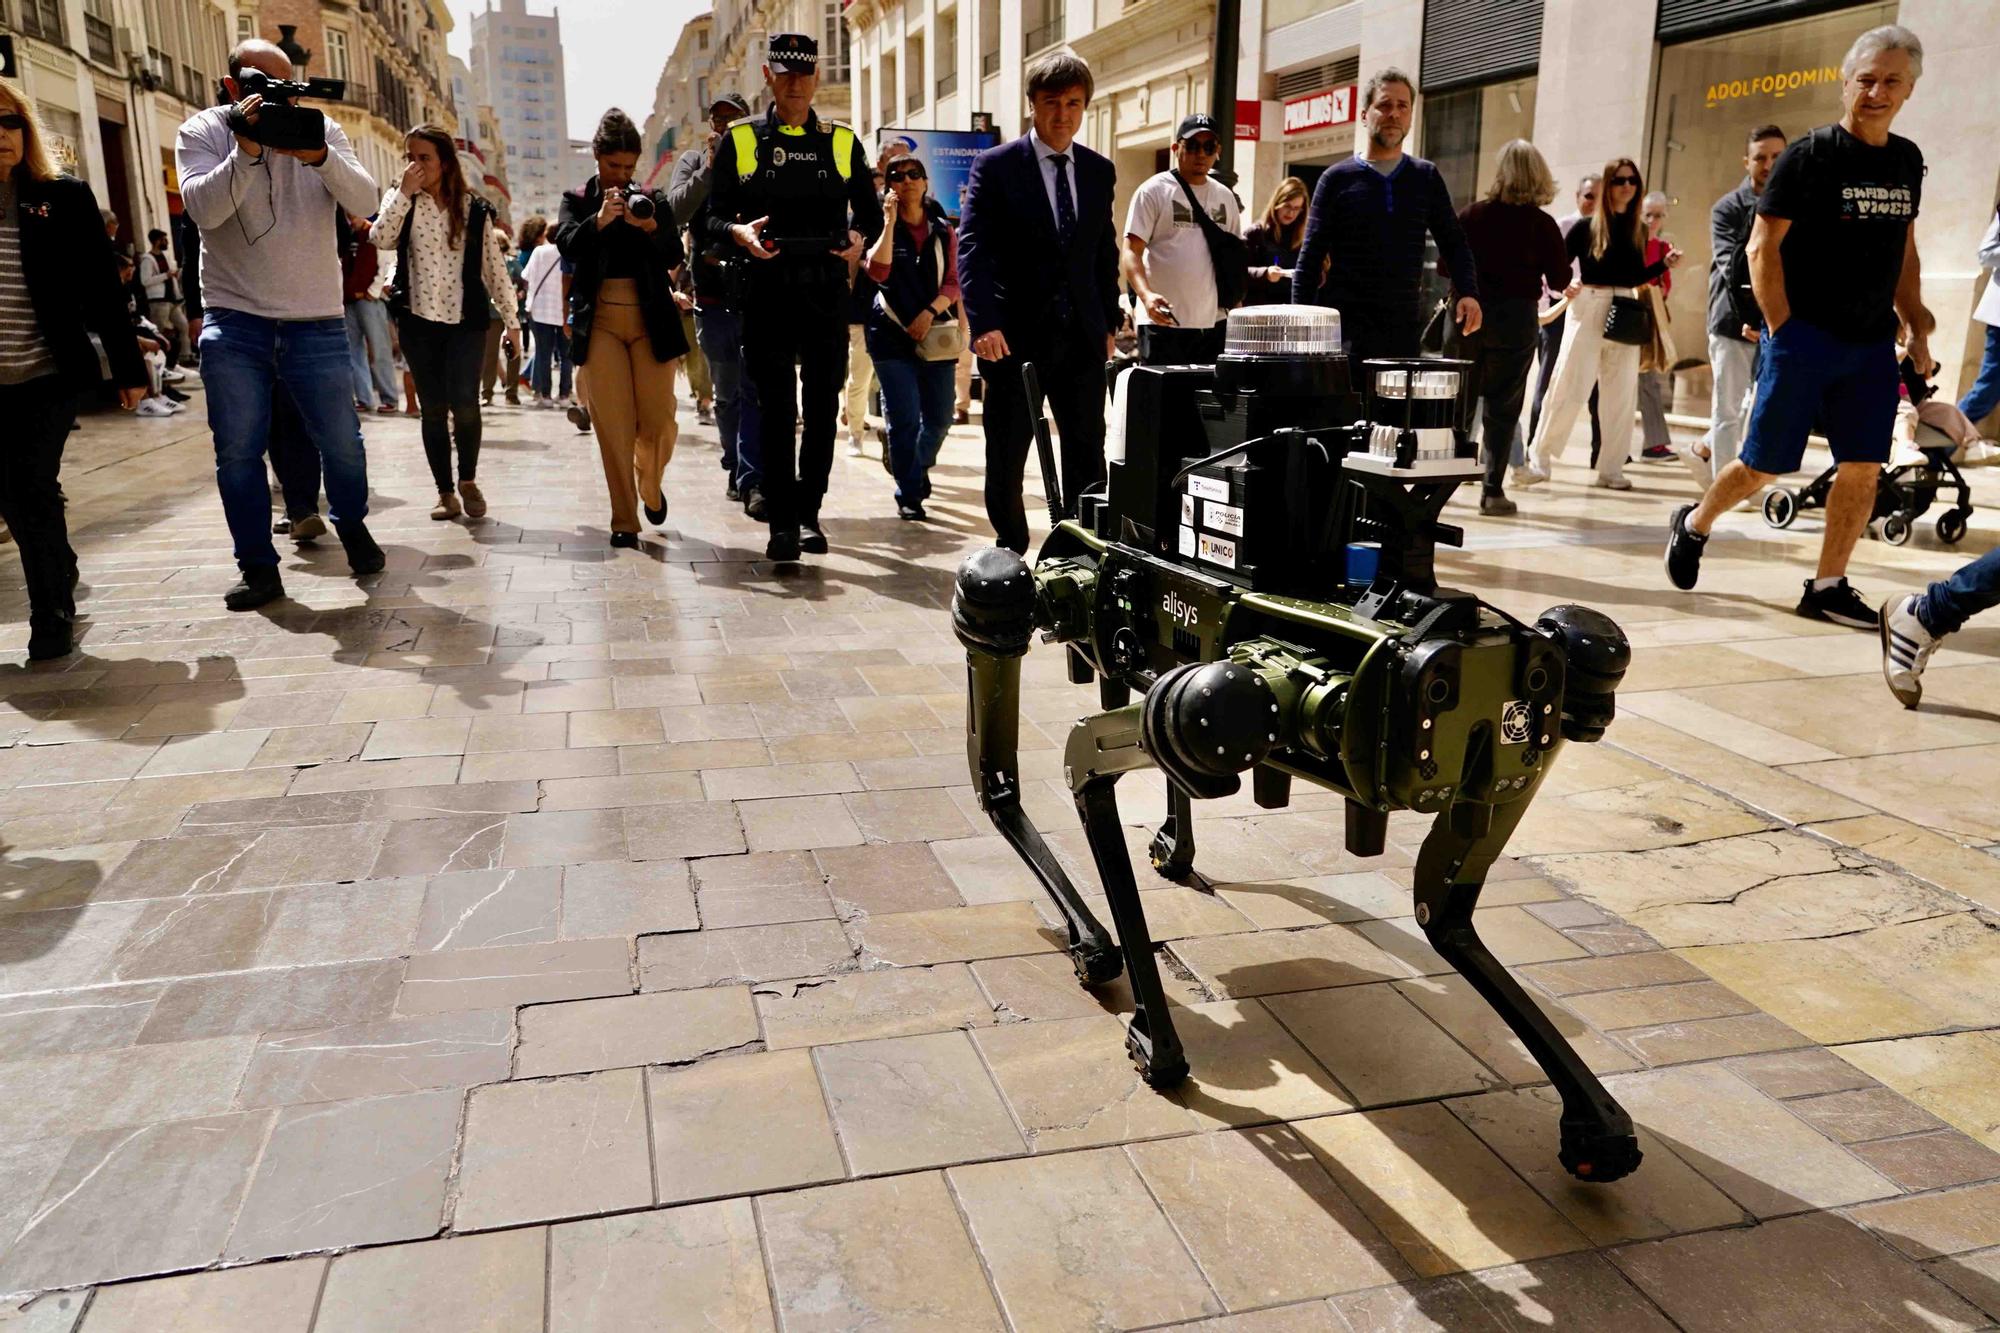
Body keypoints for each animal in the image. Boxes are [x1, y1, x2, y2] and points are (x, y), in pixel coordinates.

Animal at [952, 306, 1640, 1176]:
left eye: (1512, 711)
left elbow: (1446, 909)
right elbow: (1071, 761)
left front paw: (1595, 1118)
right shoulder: (1195, 698)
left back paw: (1168, 848)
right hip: (1025, 606)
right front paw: (1153, 1033)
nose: (1449, 675)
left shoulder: (1512, 757)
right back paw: (1098, 933)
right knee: (998, 707)